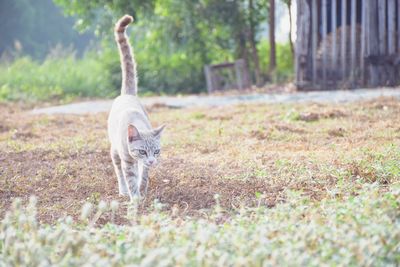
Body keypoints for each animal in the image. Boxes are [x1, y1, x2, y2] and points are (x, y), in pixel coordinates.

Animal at [107, 15, 165, 201]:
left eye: (156, 151)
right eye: (142, 151)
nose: (152, 161)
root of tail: (127, 95)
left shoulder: (144, 165)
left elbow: (143, 177)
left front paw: (142, 191)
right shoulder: (128, 160)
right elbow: (130, 179)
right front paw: (135, 198)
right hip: (115, 151)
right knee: (119, 171)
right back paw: (123, 190)